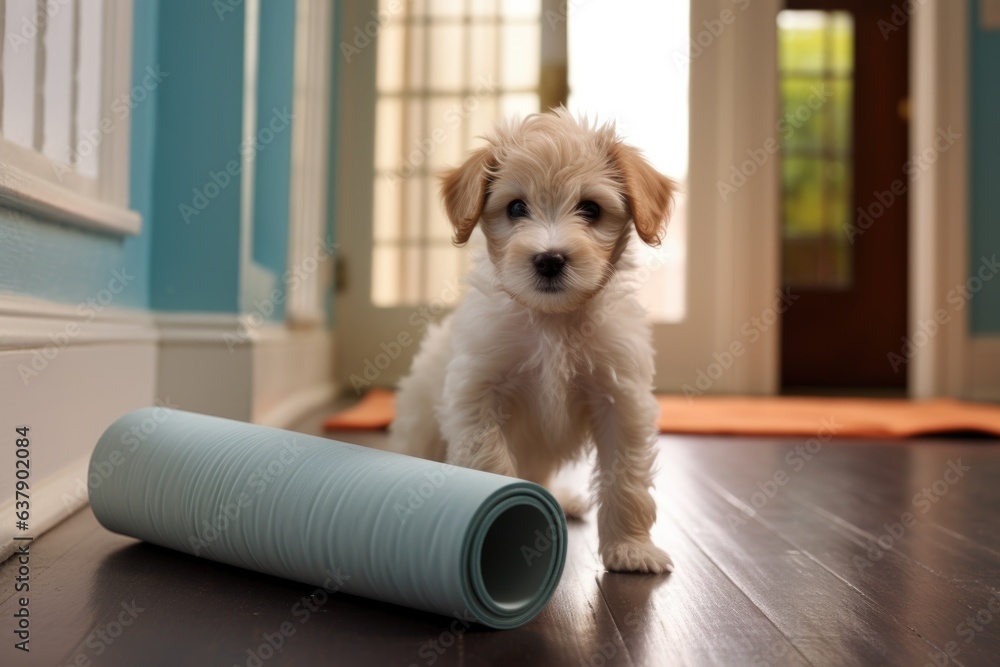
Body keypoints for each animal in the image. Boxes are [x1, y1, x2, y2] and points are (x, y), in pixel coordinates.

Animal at [386, 109, 676, 576]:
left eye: (590, 209)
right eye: (516, 208)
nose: (550, 259)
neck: (550, 321)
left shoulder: (622, 398)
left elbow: (626, 479)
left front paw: (631, 549)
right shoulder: (477, 393)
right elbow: (491, 463)